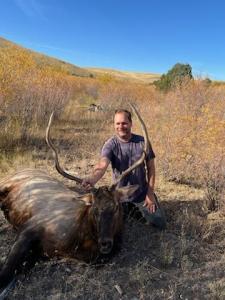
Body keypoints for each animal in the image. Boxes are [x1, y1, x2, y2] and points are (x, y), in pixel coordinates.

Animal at [0, 104, 150, 294]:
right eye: (94, 209)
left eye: (117, 207)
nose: (105, 243)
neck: (76, 240)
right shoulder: (29, 227)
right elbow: (5, 273)